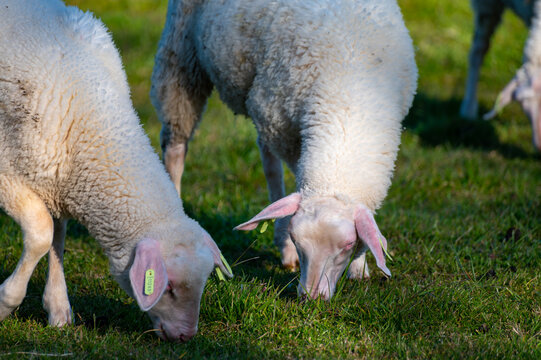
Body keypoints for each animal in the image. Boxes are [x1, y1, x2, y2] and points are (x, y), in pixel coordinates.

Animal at [0, 0, 230, 344]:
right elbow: (42, 235)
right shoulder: (8, 175)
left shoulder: (58, 183)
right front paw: (6, 302)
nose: (185, 336)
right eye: (168, 287)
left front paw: (58, 308)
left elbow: (57, 237)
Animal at [152, 0, 418, 300]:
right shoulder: (281, 126)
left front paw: (359, 268)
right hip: (182, 54)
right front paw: (287, 247)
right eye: (297, 239)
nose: (311, 297)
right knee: (176, 146)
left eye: (348, 245)